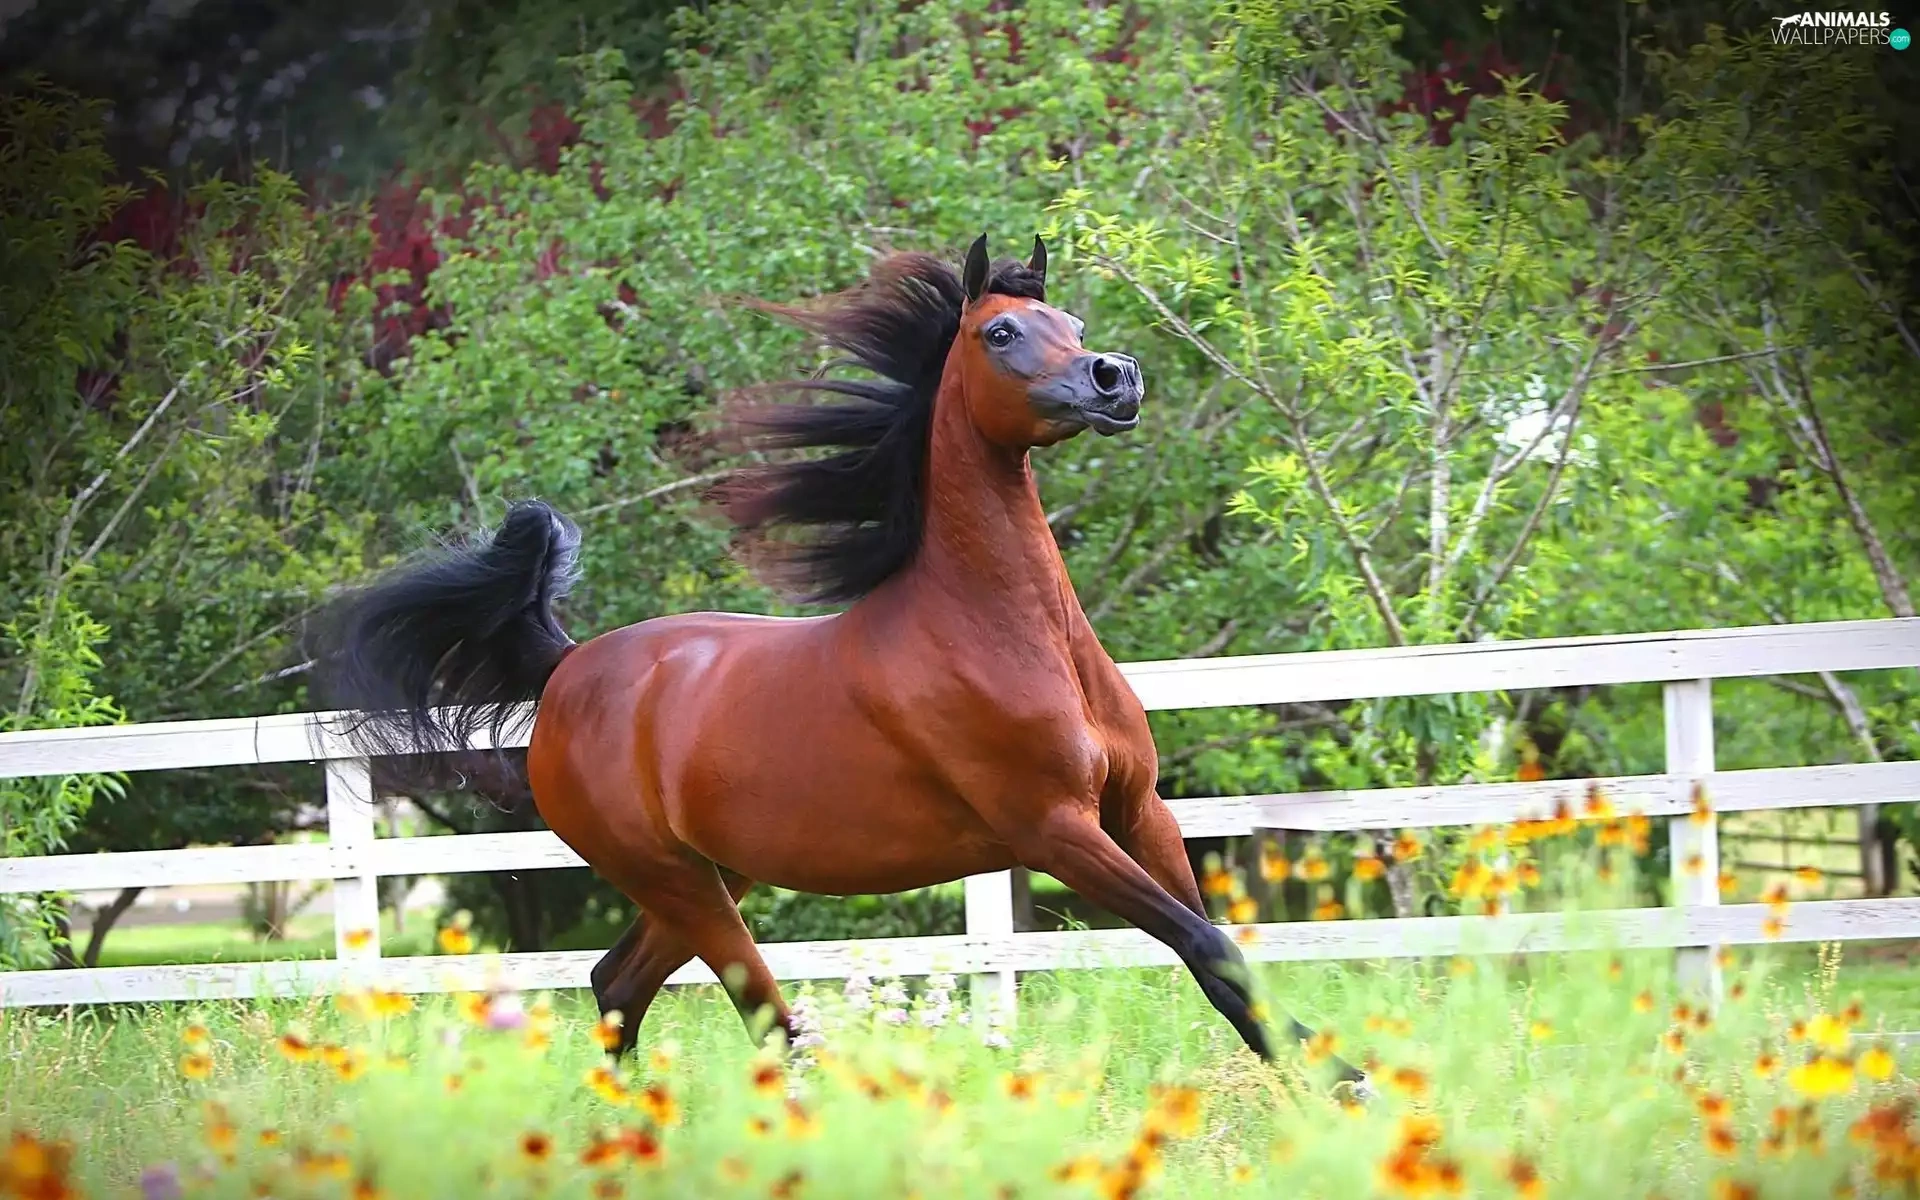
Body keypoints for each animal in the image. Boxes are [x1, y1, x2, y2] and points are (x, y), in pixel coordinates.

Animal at [307, 233, 1361, 1086]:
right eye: (1001, 333)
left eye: (1072, 322)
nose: (1116, 378)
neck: (1003, 634)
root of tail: (567, 670)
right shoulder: (1054, 830)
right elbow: (1205, 944)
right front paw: (1342, 1077)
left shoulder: (1140, 811)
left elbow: (1221, 951)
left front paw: (1322, 1074)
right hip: (678, 880)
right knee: (763, 1016)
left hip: (707, 875)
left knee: (617, 983)